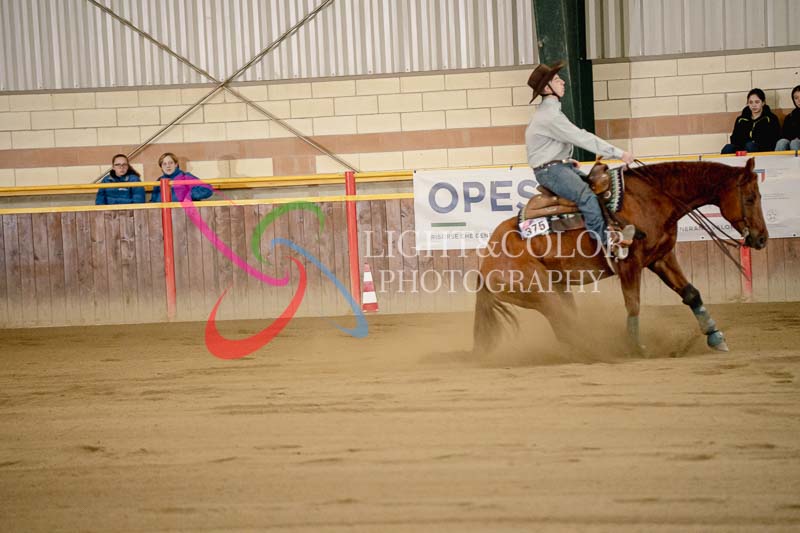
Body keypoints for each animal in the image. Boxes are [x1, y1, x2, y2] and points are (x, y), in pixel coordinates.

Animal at [473, 157, 768, 356]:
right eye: (750, 198)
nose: (762, 238)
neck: (653, 198)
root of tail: (485, 261)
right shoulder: (629, 264)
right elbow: (633, 305)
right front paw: (636, 347)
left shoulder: (661, 258)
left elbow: (691, 294)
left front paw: (716, 337)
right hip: (542, 293)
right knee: (564, 325)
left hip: (559, 288)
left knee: (566, 326)